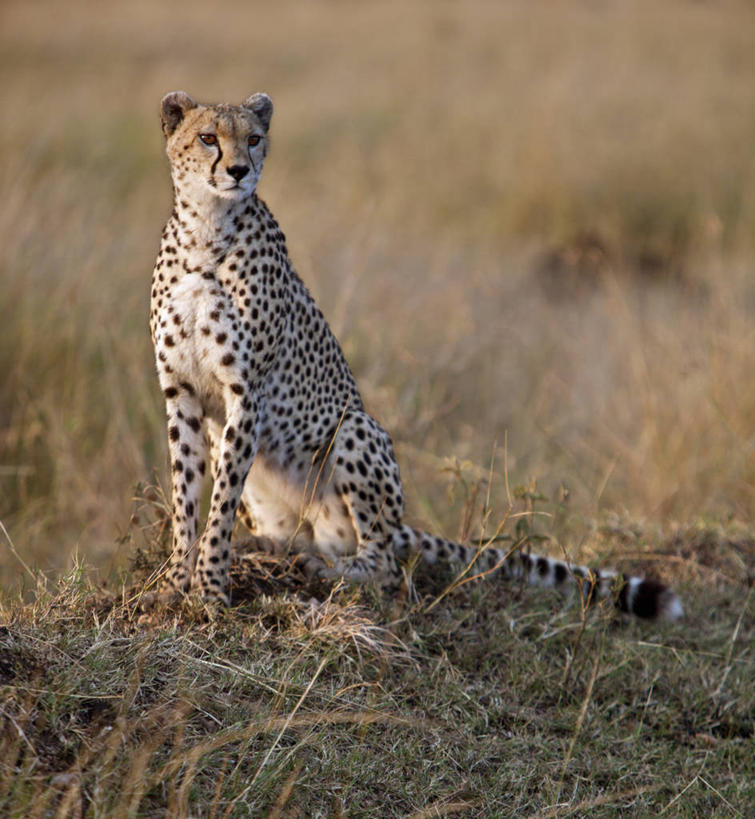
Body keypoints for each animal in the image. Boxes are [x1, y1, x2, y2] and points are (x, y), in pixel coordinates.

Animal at [149, 93, 684, 620]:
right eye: (207, 137)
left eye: (255, 138)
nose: (239, 170)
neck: (207, 229)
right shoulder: (182, 392)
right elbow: (187, 494)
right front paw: (175, 582)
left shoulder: (246, 393)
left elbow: (218, 503)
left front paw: (210, 590)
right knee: (300, 536)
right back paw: (270, 550)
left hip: (355, 427)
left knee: (383, 564)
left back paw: (328, 569)